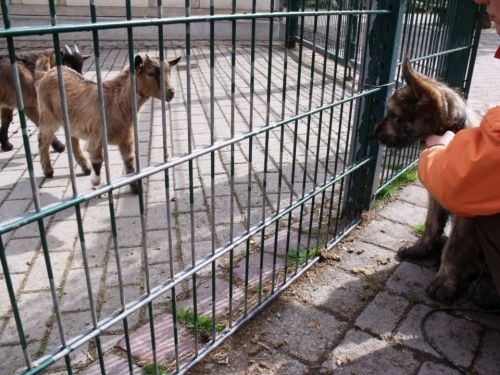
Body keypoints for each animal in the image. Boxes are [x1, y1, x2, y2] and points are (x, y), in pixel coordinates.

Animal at [36, 54, 182, 195]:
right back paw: (48, 170)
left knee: (73, 140)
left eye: (169, 71)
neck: (115, 101)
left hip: (72, 121)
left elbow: (130, 162)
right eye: (150, 73)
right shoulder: (96, 137)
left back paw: (85, 167)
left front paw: (136, 188)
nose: (171, 92)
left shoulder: (126, 138)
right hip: (48, 116)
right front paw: (95, 183)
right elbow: (98, 161)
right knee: (43, 141)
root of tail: (46, 73)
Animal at [374, 60, 490, 304]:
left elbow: (455, 248)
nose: (374, 134)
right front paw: (422, 248)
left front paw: (445, 283)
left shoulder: (466, 218)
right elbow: (432, 223)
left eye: (394, 113)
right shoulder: (435, 195)